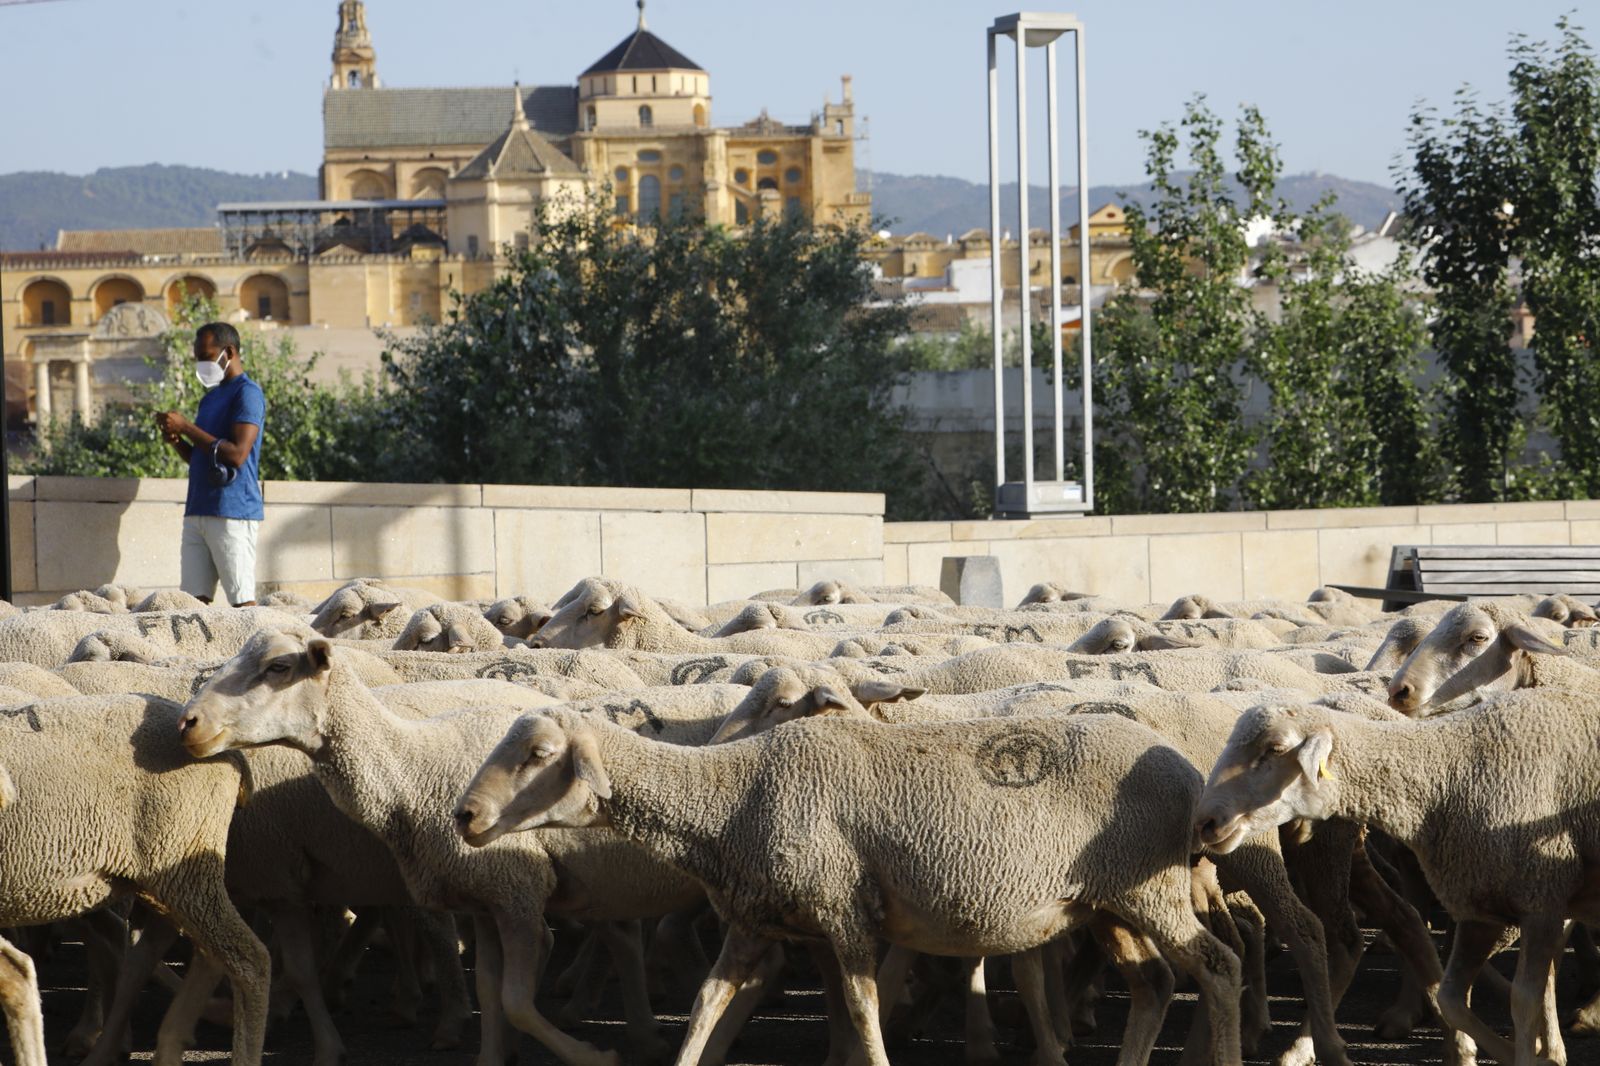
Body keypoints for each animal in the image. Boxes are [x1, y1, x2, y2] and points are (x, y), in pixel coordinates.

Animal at [180, 627, 710, 1066]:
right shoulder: (484, 898)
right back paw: (643, 1033)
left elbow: (516, 1001)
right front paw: (495, 1056)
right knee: (621, 933)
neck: (411, 769)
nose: (189, 722)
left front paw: (593, 1056)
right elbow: (491, 991)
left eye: (278, 667)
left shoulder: (516, 891)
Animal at [455, 708, 1245, 1066]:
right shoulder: (754, 918)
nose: (463, 816)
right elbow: (706, 1004)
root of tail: (1188, 773)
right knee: (1152, 984)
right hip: (1110, 904)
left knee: (1218, 967)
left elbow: (863, 1009)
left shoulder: (844, 912)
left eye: (538, 754)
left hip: (1152, 892)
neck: (730, 801)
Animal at [1194, 689, 1600, 1066]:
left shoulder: (1540, 902)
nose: (1205, 821)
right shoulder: (1479, 907)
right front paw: (1509, 1051)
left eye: (1275, 748)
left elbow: (1524, 999)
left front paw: (1526, 1052)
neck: (1452, 775)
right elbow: (1451, 998)